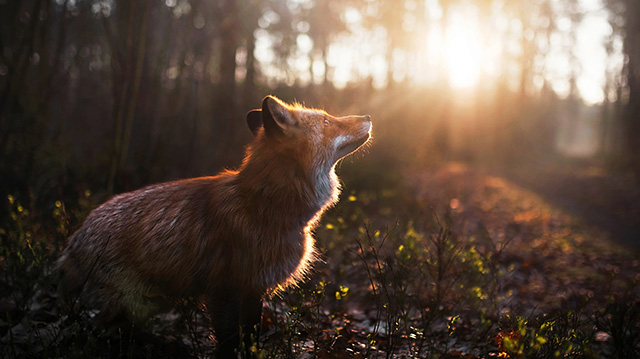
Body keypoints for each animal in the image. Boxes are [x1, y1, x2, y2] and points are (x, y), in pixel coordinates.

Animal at [57, 95, 372, 358]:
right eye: (327, 121)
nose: (369, 115)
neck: (267, 204)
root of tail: (73, 239)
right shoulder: (223, 288)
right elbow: (229, 341)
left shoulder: (253, 286)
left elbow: (251, 337)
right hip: (133, 303)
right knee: (85, 329)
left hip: (148, 303)